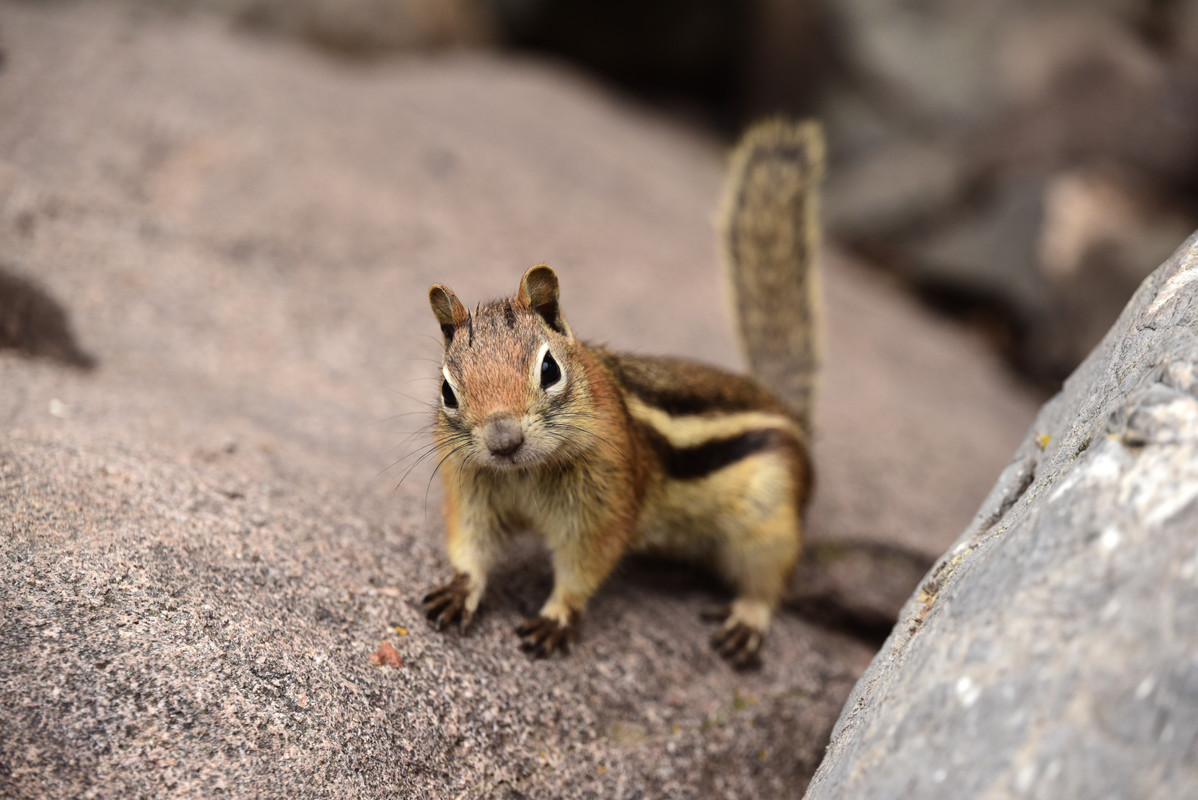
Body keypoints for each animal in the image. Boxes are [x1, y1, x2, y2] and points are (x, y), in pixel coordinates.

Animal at [421, 120, 824, 670]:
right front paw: (461, 588)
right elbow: (472, 543)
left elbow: (586, 563)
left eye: (549, 369)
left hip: (768, 518)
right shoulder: (473, 490)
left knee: (768, 577)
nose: (503, 442)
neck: (524, 475)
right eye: (448, 391)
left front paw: (556, 615)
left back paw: (747, 619)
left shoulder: (603, 504)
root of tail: (788, 413)